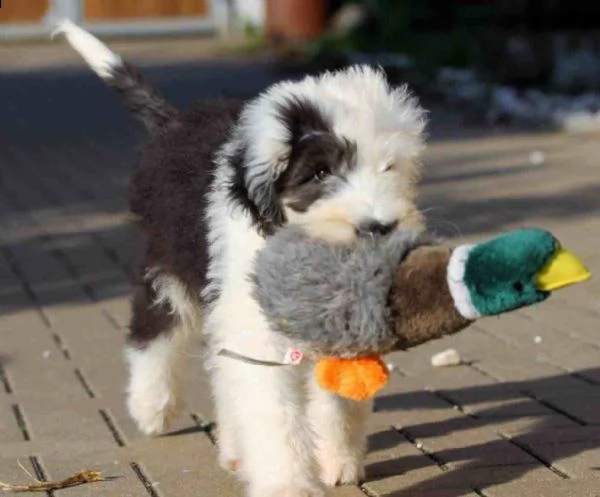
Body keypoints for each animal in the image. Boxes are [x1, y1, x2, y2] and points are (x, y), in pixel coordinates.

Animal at [56, 21, 426, 496]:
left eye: (389, 168)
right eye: (320, 173)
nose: (379, 226)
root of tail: (174, 122)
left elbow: (336, 395)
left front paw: (337, 460)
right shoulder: (254, 328)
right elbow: (273, 414)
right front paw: (289, 485)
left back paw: (232, 446)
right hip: (170, 263)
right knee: (154, 329)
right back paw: (152, 406)